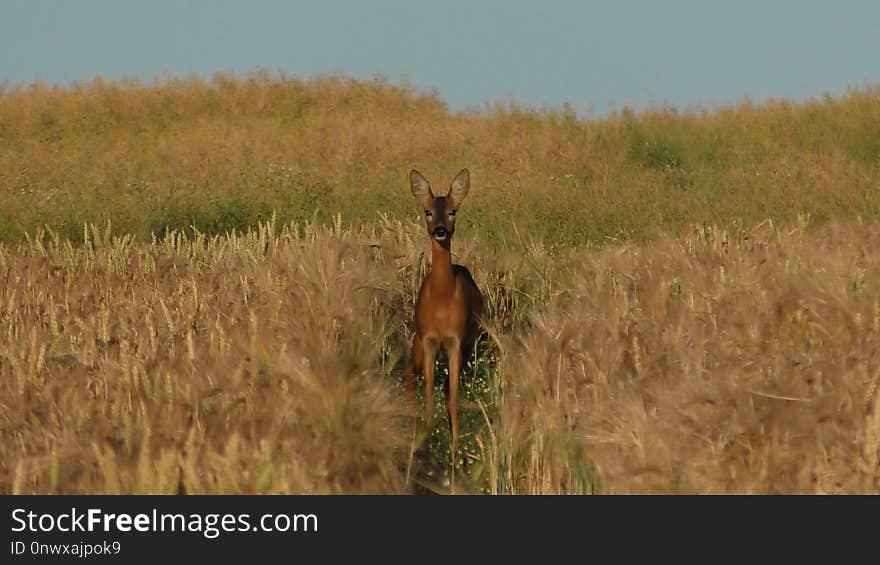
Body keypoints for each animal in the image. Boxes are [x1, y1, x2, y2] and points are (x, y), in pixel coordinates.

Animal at [404, 167, 484, 468]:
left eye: (453, 211)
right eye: (427, 211)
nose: (440, 230)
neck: (441, 298)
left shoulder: (455, 341)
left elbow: (452, 399)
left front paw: (455, 451)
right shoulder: (428, 339)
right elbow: (429, 398)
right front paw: (426, 445)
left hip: (471, 344)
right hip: (415, 342)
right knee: (409, 373)